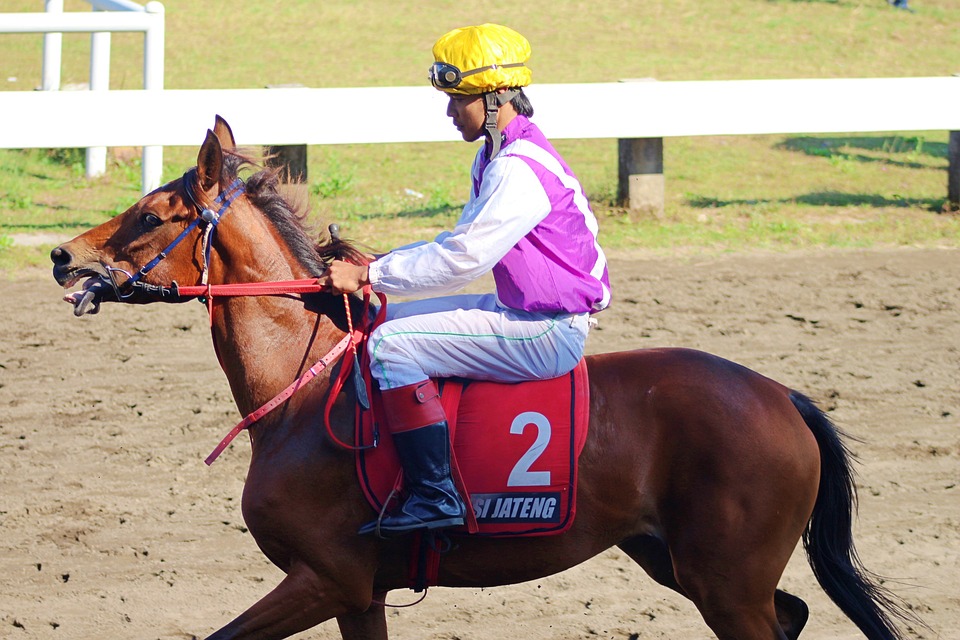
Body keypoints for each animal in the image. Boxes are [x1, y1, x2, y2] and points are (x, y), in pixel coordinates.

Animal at [48, 116, 920, 640]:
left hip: (726, 582)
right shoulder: (359, 594)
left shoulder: (325, 579)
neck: (301, 398)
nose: (63, 255)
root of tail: (784, 397)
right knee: (794, 609)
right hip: (676, 561)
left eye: (150, 216)